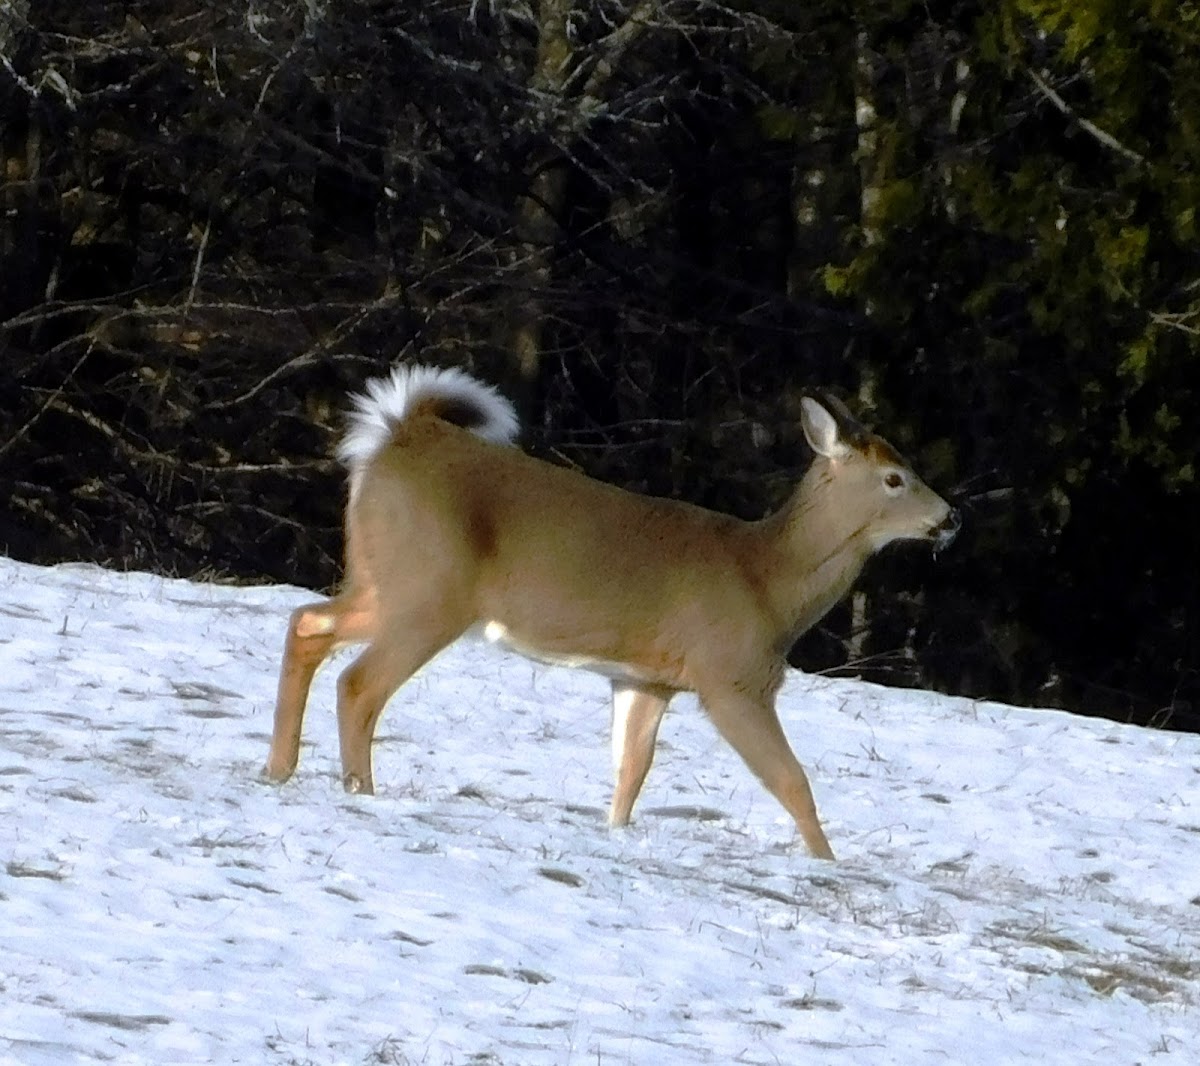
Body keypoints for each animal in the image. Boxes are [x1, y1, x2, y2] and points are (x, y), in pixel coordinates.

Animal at [262, 364, 955, 859]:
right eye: (895, 478)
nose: (949, 517)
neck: (767, 581)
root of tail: (396, 435)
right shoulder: (730, 675)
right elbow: (793, 782)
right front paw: (827, 862)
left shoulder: (646, 677)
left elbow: (631, 772)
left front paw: (614, 831)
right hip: (429, 590)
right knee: (359, 682)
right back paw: (360, 789)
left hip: (381, 578)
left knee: (306, 624)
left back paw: (277, 770)